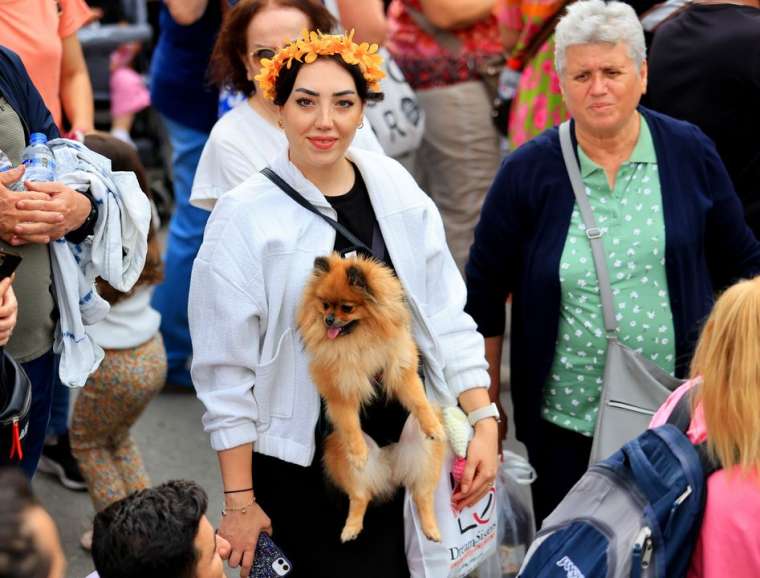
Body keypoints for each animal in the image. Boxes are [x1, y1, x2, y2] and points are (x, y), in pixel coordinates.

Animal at [296, 252, 446, 540]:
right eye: (325, 305)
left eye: (346, 308)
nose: (328, 319)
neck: (360, 342)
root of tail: (390, 460)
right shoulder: (340, 390)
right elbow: (349, 424)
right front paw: (358, 453)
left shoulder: (401, 372)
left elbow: (418, 401)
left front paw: (432, 425)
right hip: (340, 455)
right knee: (360, 496)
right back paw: (351, 528)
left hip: (424, 455)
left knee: (422, 495)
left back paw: (432, 529)